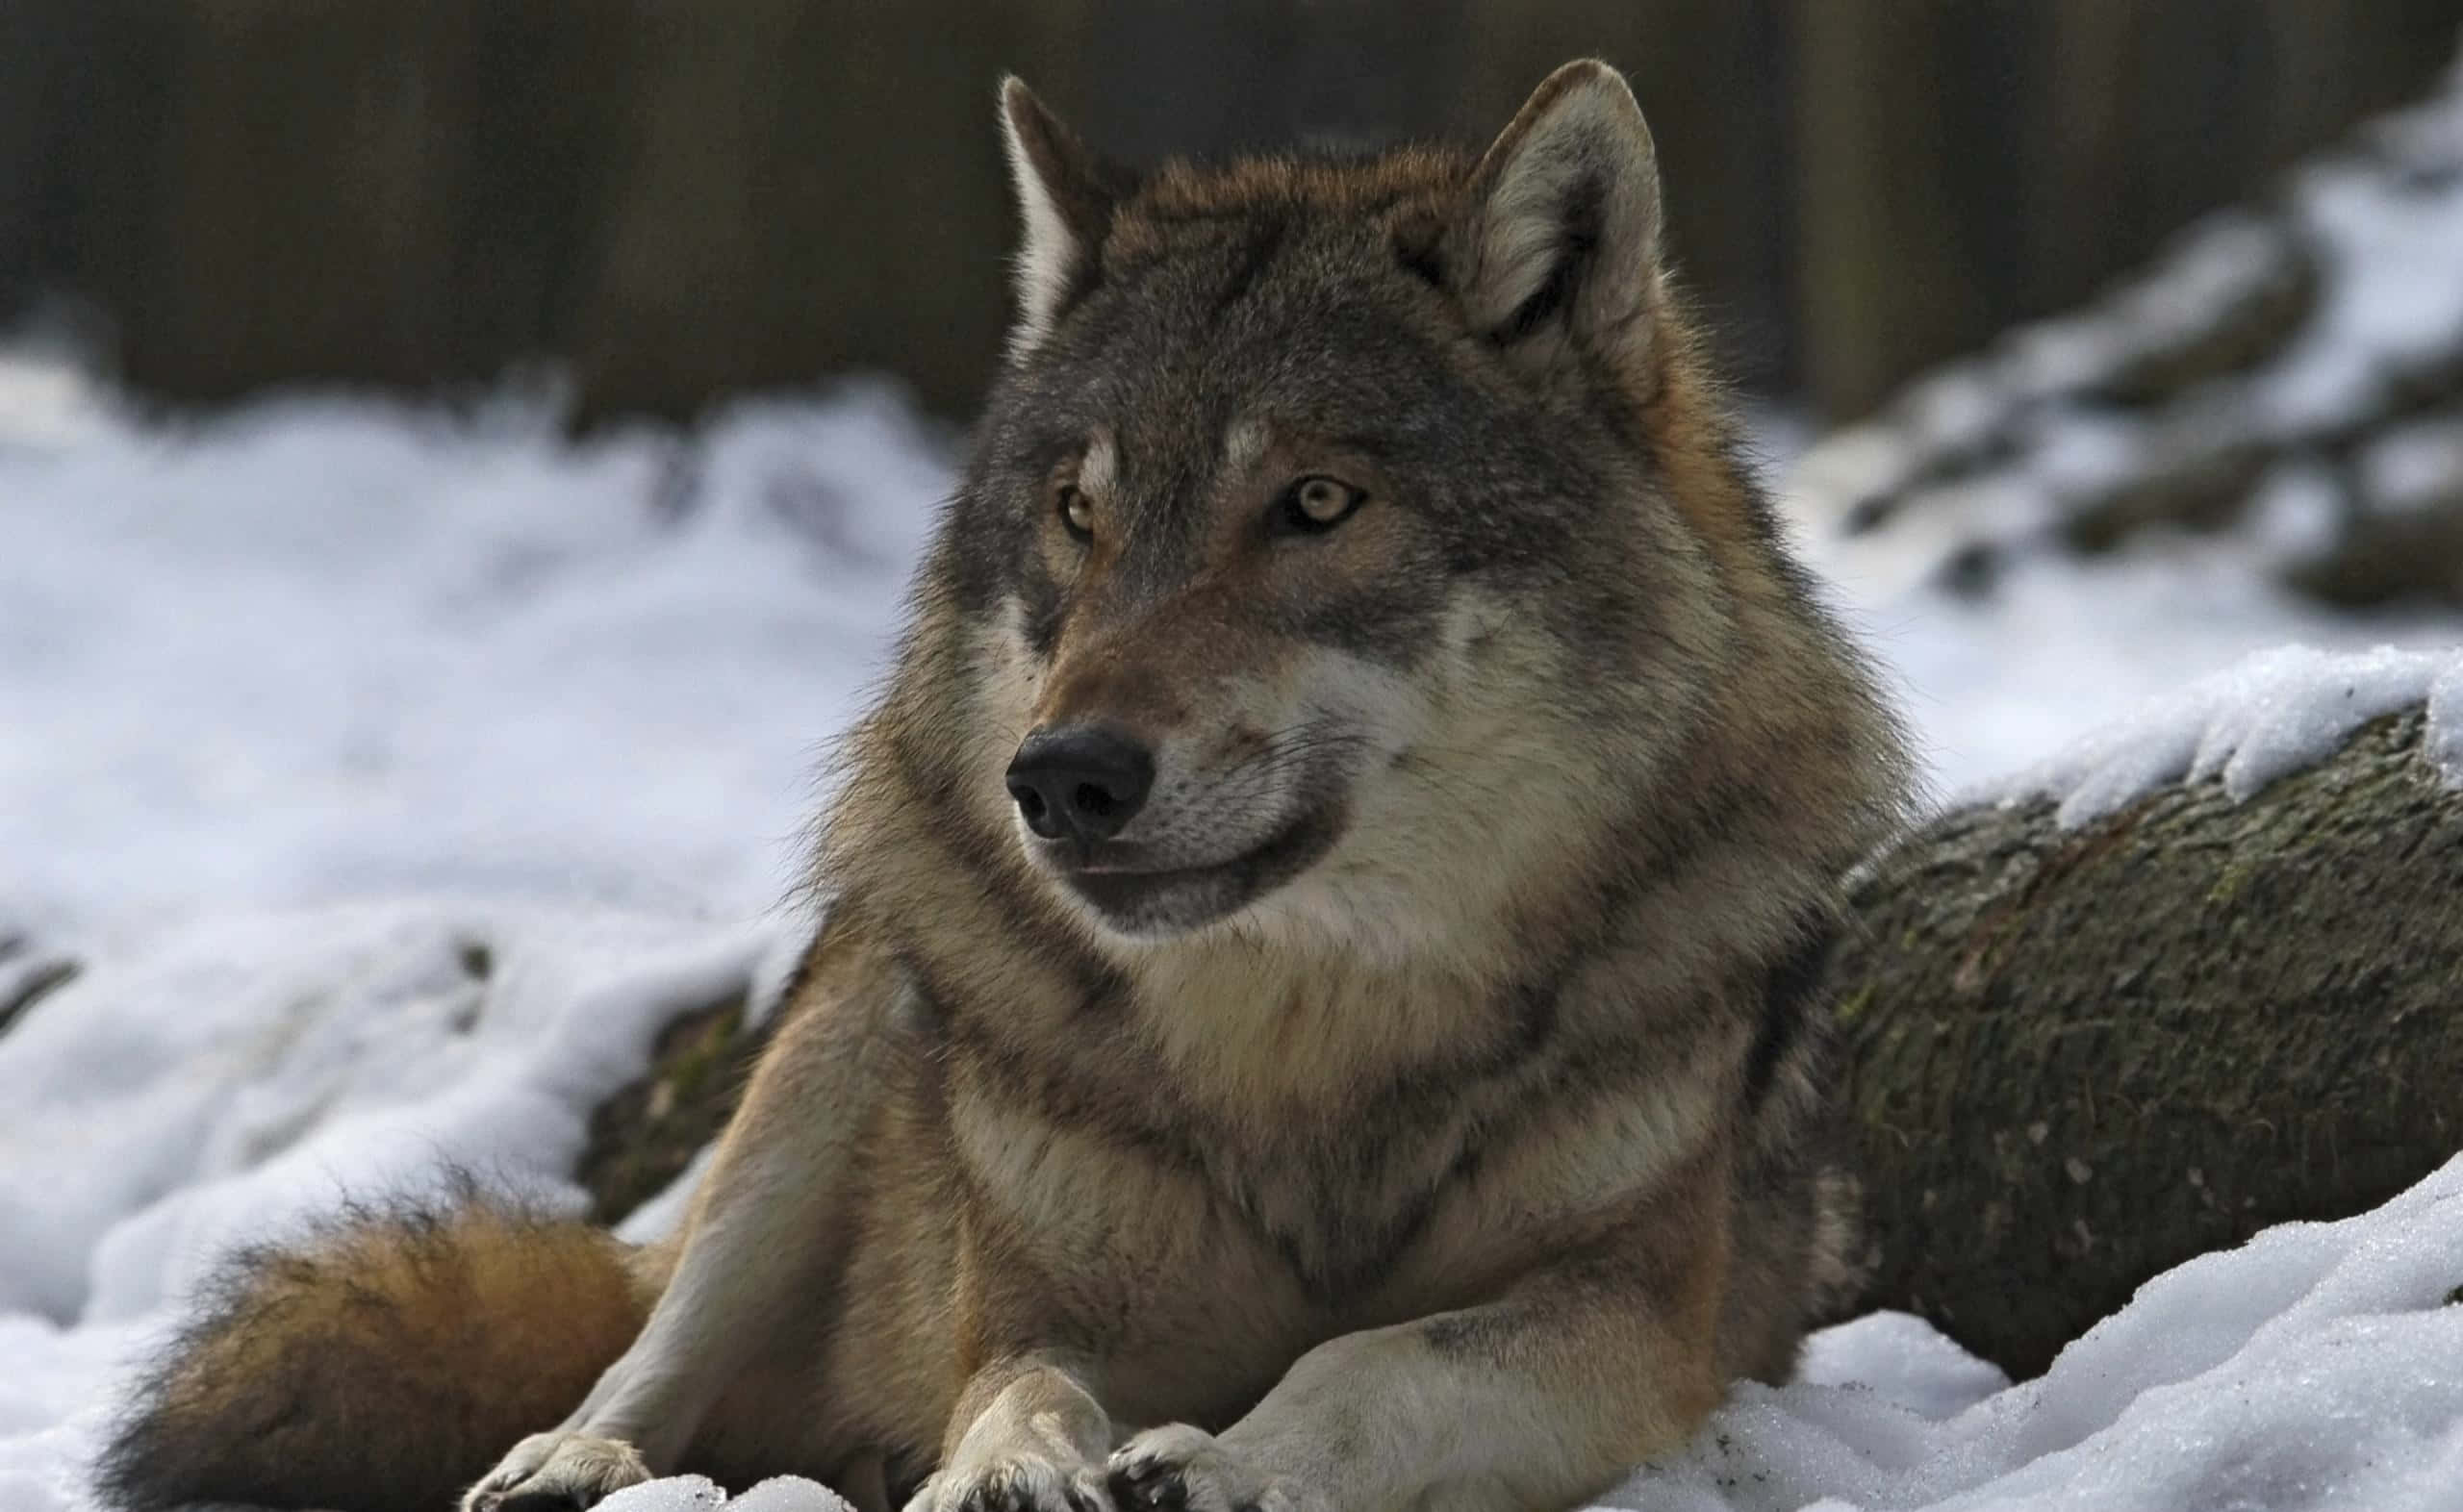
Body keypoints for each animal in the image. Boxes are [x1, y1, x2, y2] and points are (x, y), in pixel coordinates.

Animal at [98, 59, 1909, 1512]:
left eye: (1318, 503)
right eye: (1078, 514)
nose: (1064, 776)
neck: (1307, 1061)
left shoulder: (1637, 1320)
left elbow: (1372, 1362)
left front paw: (1226, 1463)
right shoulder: (1036, 1296)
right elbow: (1016, 1384)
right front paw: (1015, 1472)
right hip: (850, 1033)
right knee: (643, 1349)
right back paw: (565, 1465)